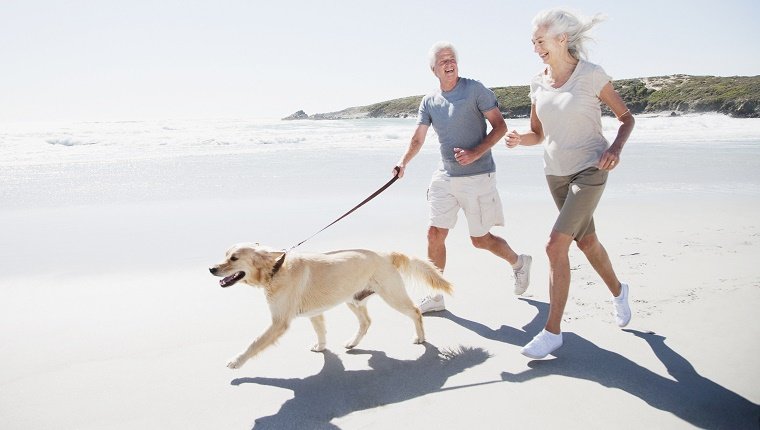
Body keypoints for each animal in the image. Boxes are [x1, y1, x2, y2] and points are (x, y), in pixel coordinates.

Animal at [209, 244, 452, 368]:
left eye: (234, 258)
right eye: (225, 255)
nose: (211, 269)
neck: (275, 270)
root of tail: (386, 253)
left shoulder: (279, 322)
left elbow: (254, 343)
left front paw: (237, 361)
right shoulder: (313, 313)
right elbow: (320, 331)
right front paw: (321, 346)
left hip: (392, 296)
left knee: (415, 311)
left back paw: (420, 337)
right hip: (353, 299)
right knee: (366, 321)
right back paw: (353, 342)